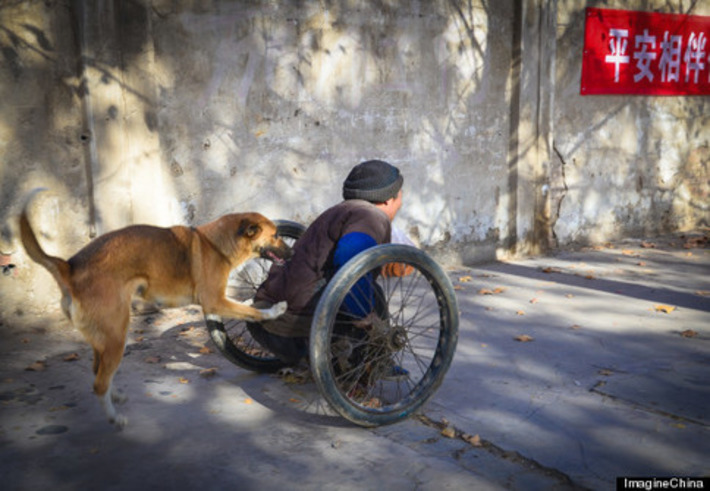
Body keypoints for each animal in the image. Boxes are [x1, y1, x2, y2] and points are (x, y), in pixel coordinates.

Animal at [19, 190, 294, 428]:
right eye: (276, 235)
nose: (292, 253)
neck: (215, 244)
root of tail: (70, 267)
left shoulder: (217, 303)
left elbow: (245, 307)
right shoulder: (214, 302)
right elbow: (253, 312)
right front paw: (276, 309)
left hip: (102, 338)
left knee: (98, 371)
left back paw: (115, 395)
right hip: (117, 335)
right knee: (99, 382)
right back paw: (114, 417)